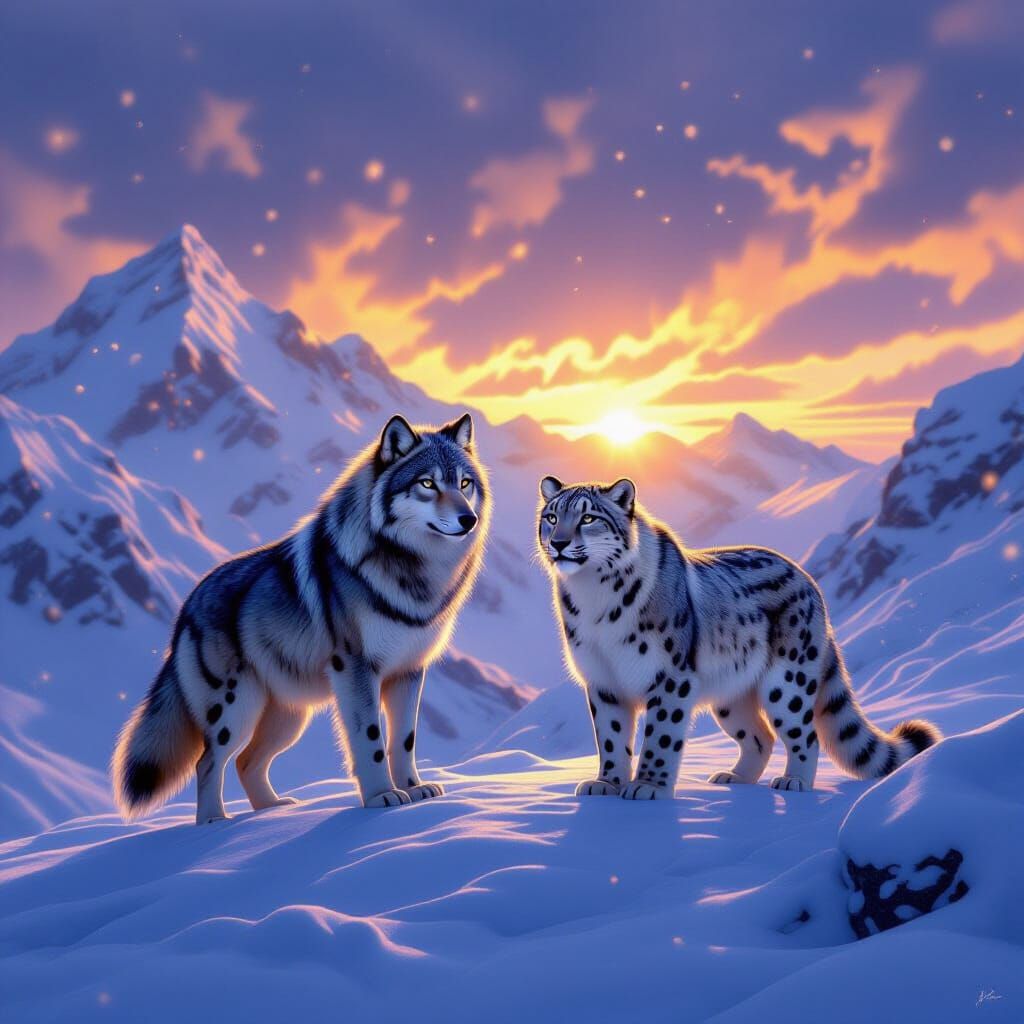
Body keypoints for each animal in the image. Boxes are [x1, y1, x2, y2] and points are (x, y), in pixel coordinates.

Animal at [113, 413, 488, 823]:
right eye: (427, 484)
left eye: (464, 483)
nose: (468, 519)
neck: (412, 572)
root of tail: (186, 606)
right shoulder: (356, 669)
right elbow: (371, 740)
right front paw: (381, 797)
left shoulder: (409, 671)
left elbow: (404, 741)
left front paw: (414, 790)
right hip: (237, 710)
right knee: (208, 761)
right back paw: (213, 821)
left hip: (289, 718)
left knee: (246, 762)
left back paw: (272, 811)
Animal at [537, 476, 940, 798]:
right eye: (552, 517)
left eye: (589, 518)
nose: (558, 543)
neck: (595, 600)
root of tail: (810, 583)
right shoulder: (603, 680)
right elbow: (611, 736)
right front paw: (606, 783)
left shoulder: (670, 677)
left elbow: (661, 735)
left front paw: (648, 786)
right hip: (731, 695)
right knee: (760, 736)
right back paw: (735, 778)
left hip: (788, 684)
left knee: (804, 733)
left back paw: (794, 782)